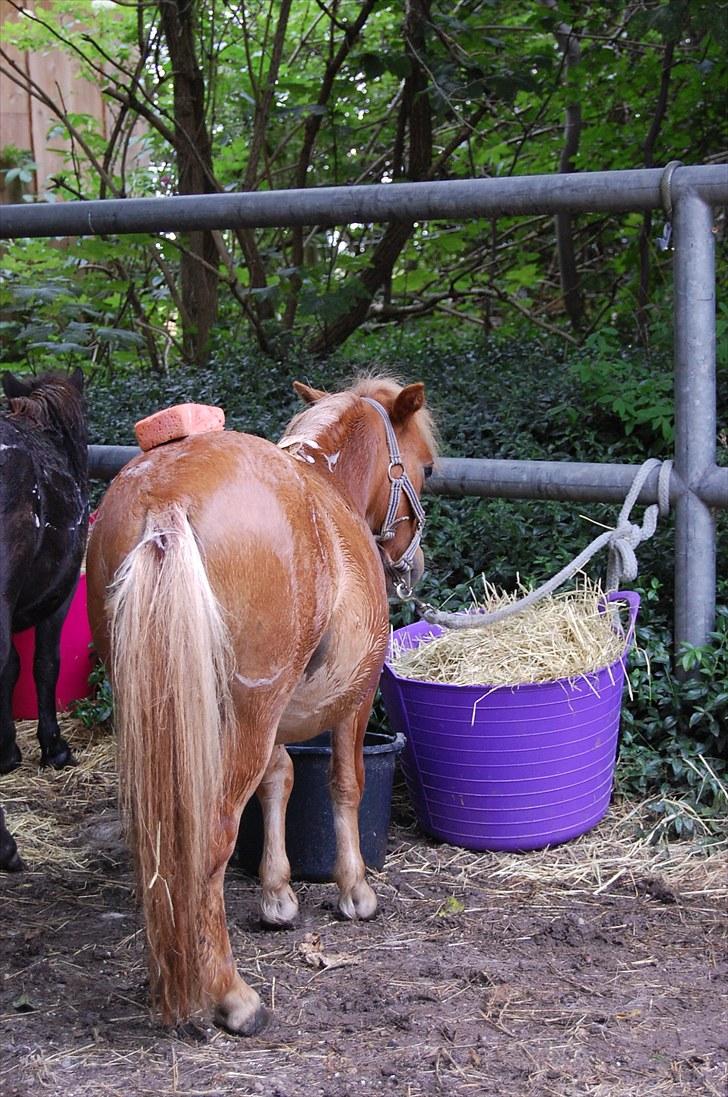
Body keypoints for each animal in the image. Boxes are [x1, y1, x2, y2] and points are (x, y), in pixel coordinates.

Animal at [87, 377, 434, 1035]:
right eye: (425, 467)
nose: (414, 566)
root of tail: (166, 496)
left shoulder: (271, 718)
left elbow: (281, 778)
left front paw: (277, 895)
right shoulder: (356, 697)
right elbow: (343, 784)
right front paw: (354, 891)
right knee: (210, 837)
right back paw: (232, 995)